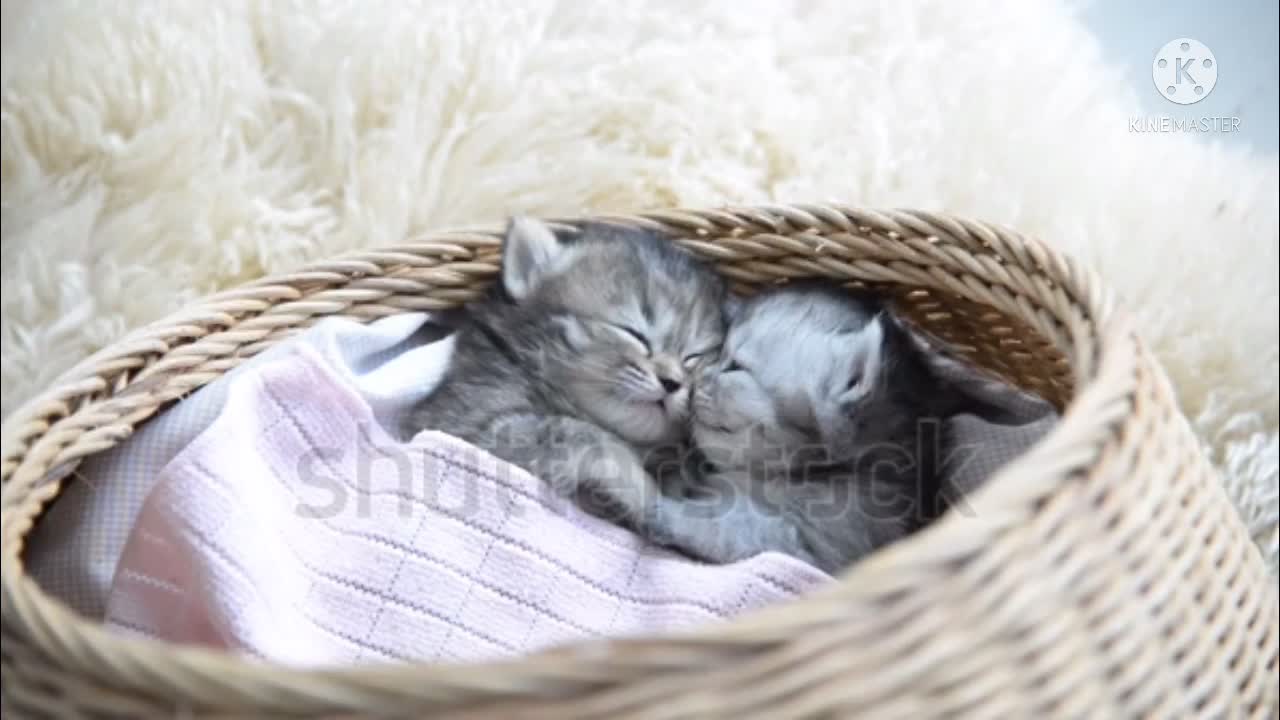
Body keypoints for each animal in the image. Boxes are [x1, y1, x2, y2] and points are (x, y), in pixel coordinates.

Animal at [409, 215, 732, 525]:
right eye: (633, 332)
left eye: (693, 356)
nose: (673, 382)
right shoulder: (464, 428)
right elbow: (587, 435)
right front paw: (643, 492)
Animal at [645, 283, 993, 568]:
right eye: (719, 352)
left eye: (735, 366)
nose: (693, 380)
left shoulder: (798, 541)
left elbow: (705, 527)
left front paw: (648, 499)